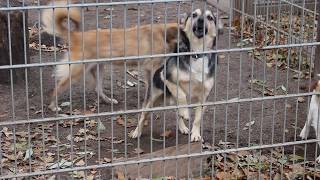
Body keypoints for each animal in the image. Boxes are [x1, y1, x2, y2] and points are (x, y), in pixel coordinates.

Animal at [41, 0, 180, 112]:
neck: (164, 35)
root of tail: (77, 36)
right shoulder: (151, 68)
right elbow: (150, 90)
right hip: (76, 71)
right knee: (57, 87)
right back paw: (53, 106)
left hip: (98, 69)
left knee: (98, 89)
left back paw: (109, 101)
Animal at [129, 8, 221, 142]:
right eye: (194, 15)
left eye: (209, 17)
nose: (200, 20)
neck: (197, 54)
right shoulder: (166, 77)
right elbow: (181, 95)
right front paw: (186, 113)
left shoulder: (204, 96)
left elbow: (198, 118)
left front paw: (195, 134)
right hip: (152, 99)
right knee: (143, 115)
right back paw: (136, 132)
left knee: (178, 112)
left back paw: (182, 127)